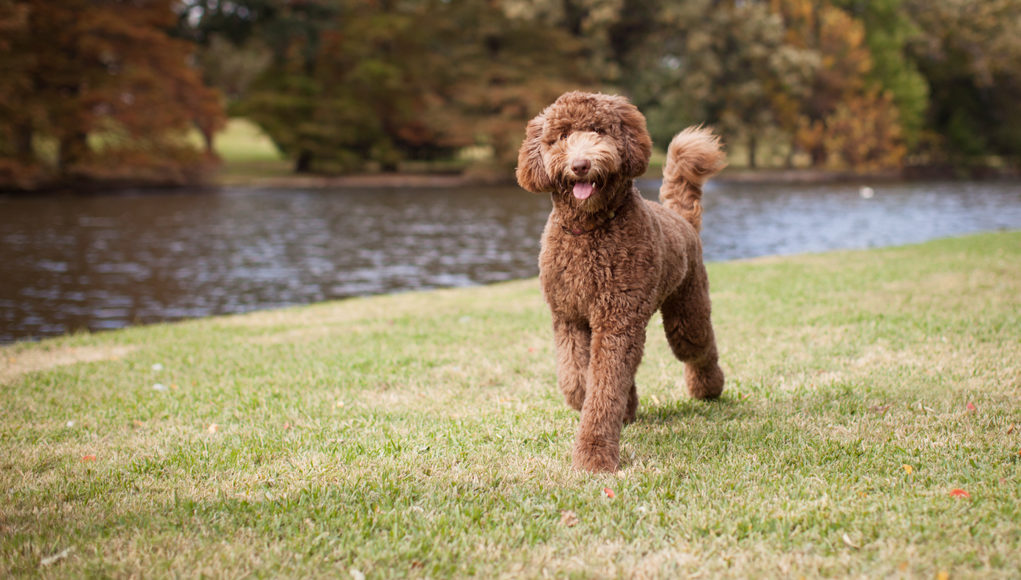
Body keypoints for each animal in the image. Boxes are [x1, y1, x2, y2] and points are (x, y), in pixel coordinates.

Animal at [518, 90, 726, 471]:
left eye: (599, 131)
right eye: (562, 136)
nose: (580, 165)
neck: (589, 230)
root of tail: (679, 217)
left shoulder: (617, 318)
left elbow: (604, 388)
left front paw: (594, 455)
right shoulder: (569, 316)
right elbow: (577, 378)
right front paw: (601, 402)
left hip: (686, 311)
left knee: (699, 348)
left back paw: (709, 388)